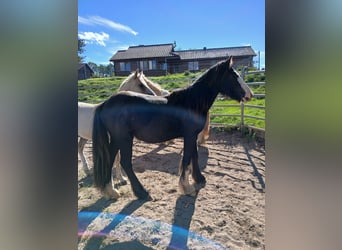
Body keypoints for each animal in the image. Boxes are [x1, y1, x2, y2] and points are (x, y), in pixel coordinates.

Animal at [92, 56, 252, 199]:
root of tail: (105, 103)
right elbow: (187, 158)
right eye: (234, 76)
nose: (250, 95)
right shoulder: (189, 135)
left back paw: (111, 191)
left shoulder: (193, 136)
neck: (192, 102)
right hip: (124, 138)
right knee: (125, 162)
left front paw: (199, 178)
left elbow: (194, 156)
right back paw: (142, 193)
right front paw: (187, 187)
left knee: (110, 159)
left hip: (116, 139)